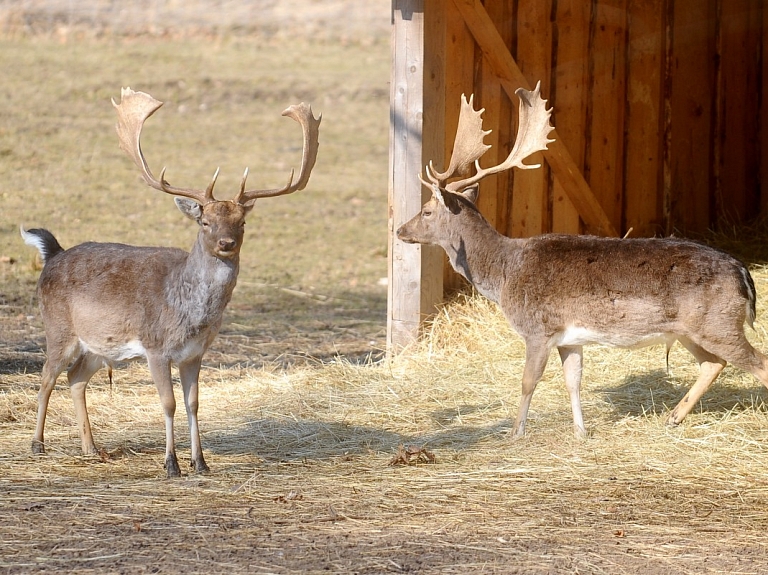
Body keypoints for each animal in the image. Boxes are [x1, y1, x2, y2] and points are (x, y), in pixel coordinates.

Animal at [21, 89, 320, 476]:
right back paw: (37, 445)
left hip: (99, 346)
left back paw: (91, 448)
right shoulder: (155, 347)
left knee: (75, 378)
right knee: (46, 377)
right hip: (58, 328)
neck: (189, 314)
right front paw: (171, 464)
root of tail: (52, 254)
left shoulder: (195, 353)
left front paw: (201, 463)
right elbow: (168, 403)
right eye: (204, 222)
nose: (227, 243)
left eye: (241, 222)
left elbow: (194, 403)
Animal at [396, 82, 768, 436]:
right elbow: (573, 381)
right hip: (690, 330)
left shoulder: (539, 328)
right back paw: (672, 418)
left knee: (759, 364)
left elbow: (528, 381)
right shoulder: (570, 339)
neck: (503, 273)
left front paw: (516, 433)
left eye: (426, 211)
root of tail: (744, 274)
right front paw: (580, 431)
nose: (400, 229)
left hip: (717, 324)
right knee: (713, 364)